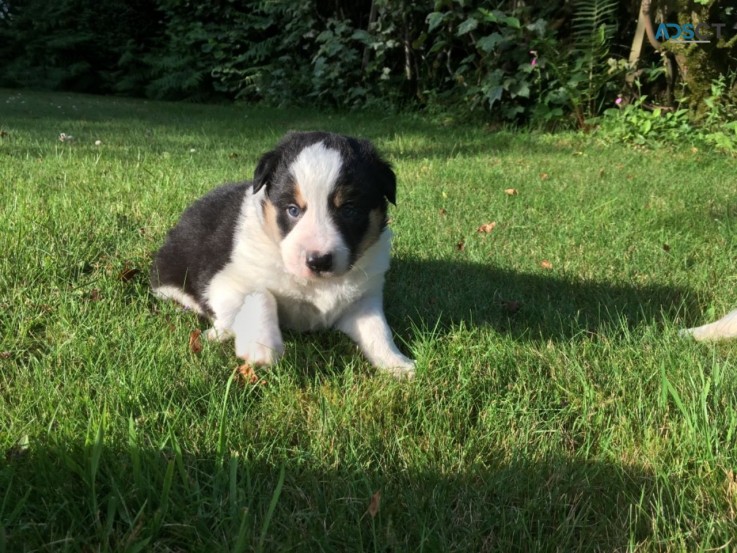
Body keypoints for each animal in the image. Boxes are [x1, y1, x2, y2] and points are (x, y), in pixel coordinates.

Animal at [151, 132, 414, 378]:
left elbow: (377, 329)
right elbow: (260, 293)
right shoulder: (223, 280)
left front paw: (397, 364)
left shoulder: (363, 299)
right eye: (293, 210)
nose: (318, 260)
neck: (313, 284)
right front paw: (261, 346)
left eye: (349, 210)